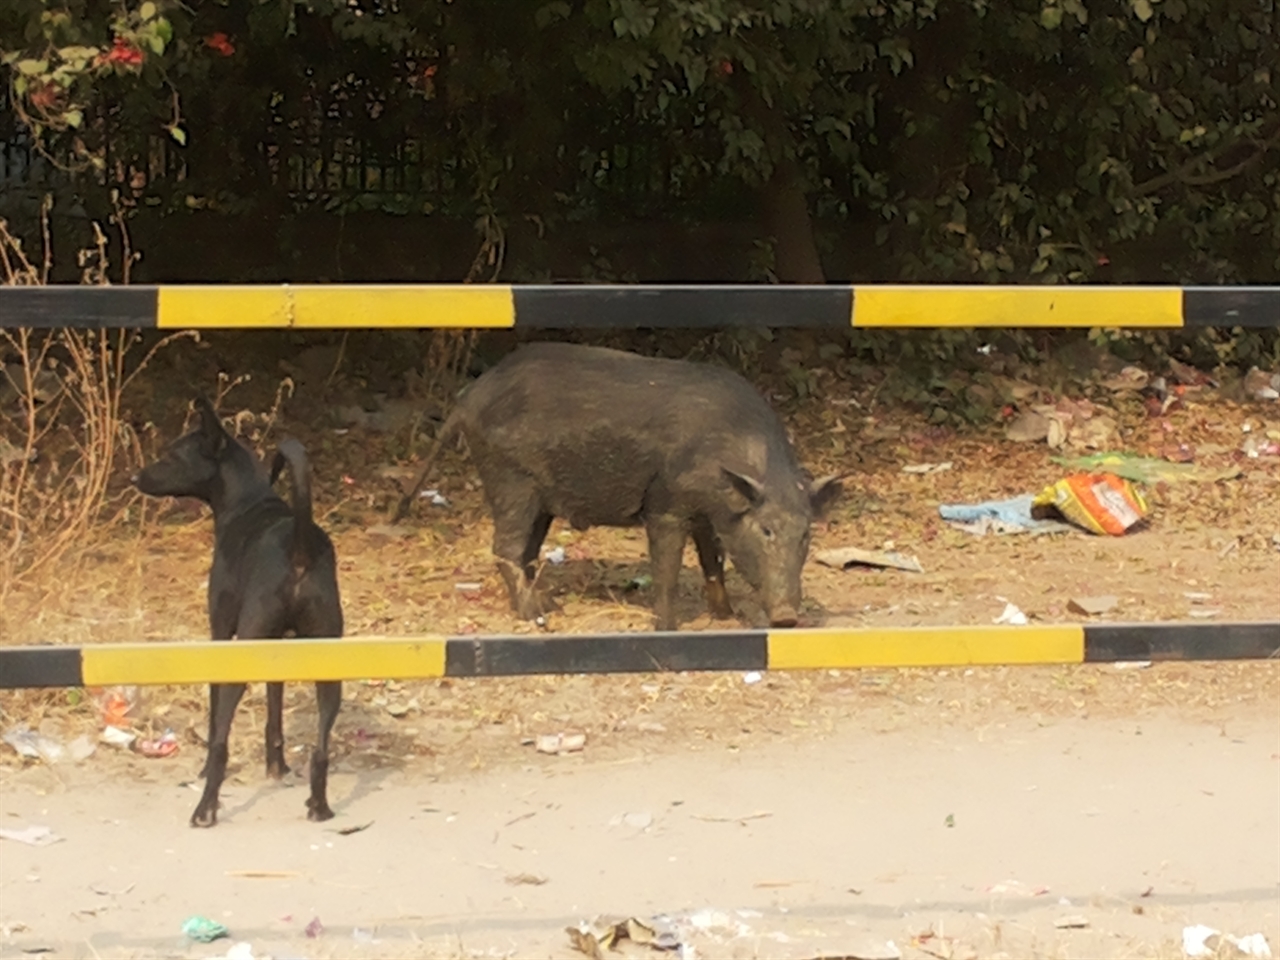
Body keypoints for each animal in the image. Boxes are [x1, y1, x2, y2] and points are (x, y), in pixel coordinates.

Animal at [133, 399, 343, 829]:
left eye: (172, 455)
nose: (134, 476)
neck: (247, 501)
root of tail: (299, 546)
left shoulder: (221, 634)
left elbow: (216, 719)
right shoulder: (277, 647)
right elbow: (275, 709)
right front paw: (276, 765)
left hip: (242, 651)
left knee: (221, 744)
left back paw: (205, 807)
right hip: (329, 660)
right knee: (320, 748)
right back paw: (318, 804)